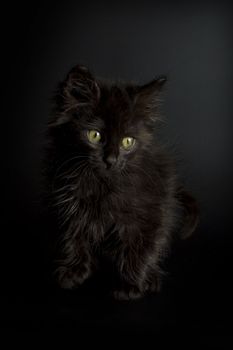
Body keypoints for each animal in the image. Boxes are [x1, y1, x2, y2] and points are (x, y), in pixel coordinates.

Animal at [43, 65, 198, 300]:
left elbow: (139, 250)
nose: (111, 159)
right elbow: (73, 238)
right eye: (94, 135)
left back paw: (151, 278)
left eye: (127, 141)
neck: (101, 183)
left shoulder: (148, 215)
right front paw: (74, 271)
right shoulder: (69, 206)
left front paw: (130, 285)